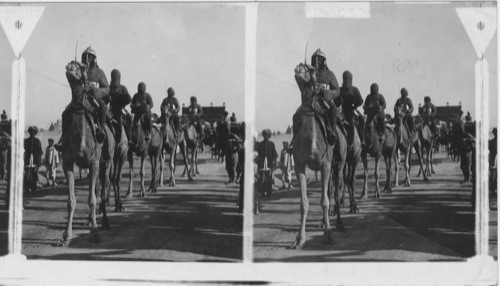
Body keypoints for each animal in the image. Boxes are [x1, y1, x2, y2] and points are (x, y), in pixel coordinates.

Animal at [59, 60, 109, 246]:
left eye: (81, 66)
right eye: (70, 64)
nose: (69, 68)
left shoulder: (94, 162)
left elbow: (92, 200)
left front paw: (95, 233)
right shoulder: (67, 162)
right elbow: (70, 201)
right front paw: (66, 236)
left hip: (105, 162)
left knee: (103, 189)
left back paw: (104, 222)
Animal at [292, 63, 346, 249]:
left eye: (311, 69)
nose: (299, 68)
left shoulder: (325, 165)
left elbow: (325, 201)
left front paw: (329, 236)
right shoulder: (299, 165)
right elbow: (303, 203)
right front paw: (299, 239)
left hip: (339, 164)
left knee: (336, 191)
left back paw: (339, 224)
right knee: (329, 190)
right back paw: (324, 222)